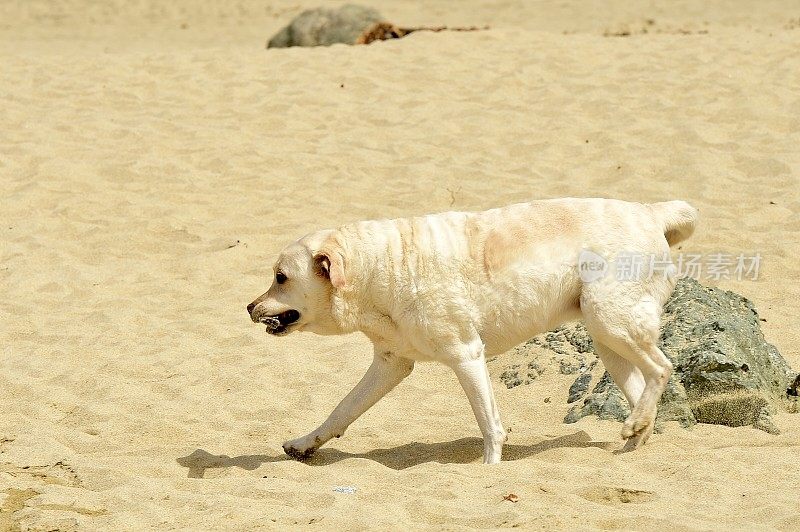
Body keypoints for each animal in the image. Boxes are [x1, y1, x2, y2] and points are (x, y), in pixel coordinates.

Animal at [247, 197, 696, 464]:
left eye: (280, 278)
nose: (249, 307)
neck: (383, 267)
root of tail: (650, 212)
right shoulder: (390, 365)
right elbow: (342, 409)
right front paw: (305, 443)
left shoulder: (466, 355)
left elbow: (490, 425)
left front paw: (489, 470)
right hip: (607, 340)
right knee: (643, 390)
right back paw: (635, 439)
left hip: (610, 320)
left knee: (662, 369)